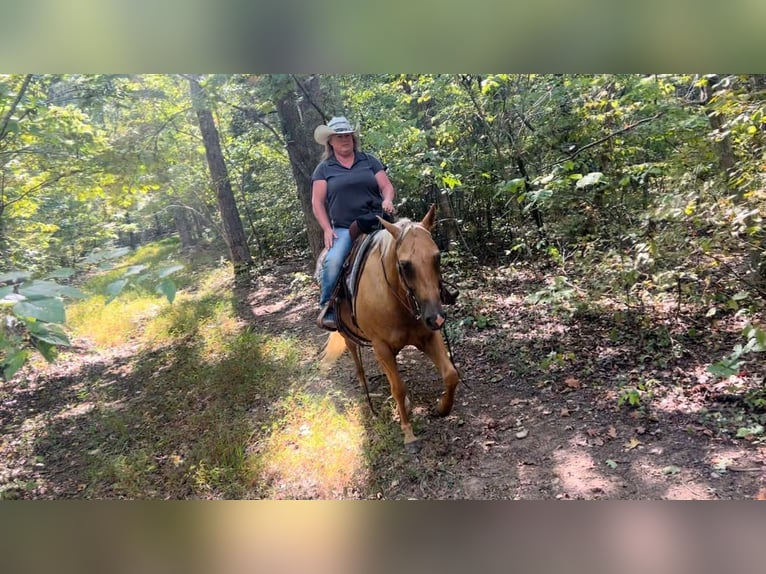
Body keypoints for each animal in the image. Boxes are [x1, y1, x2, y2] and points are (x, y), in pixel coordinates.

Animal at [321, 204, 460, 451]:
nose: (436, 318)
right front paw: (408, 434)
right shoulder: (381, 346)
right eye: (405, 265)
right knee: (356, 357)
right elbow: (398, 388)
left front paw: (442, 408)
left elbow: (451, 374)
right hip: (347, 333)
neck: (397, 299)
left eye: (437, 257)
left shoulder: (428, 337)